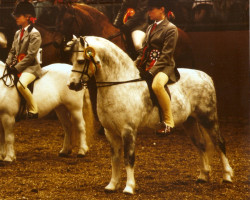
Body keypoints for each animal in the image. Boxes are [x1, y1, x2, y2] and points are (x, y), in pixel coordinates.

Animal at [66, 36, 232, 194]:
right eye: (72, 60)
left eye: (81, 61)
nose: (72, 85)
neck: (120, 84)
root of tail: (205, 76)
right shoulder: (110, 132)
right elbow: (115, 159)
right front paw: (111, 186)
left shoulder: (128, 130)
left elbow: (128, 158)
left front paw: (129, 187)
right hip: (190, 122)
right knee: (201, 145)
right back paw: (203, 176)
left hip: (208, 118)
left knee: (219, 143)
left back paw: (227, 176)